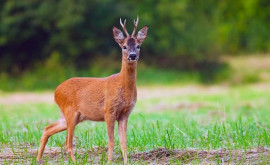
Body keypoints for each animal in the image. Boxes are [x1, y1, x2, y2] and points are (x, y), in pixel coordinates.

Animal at [36, 16, 148, 163]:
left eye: (138, 46)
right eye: (124, 46)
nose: (133, 55)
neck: (123, 87)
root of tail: (56, 91)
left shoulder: (125, 114)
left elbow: (124, 142)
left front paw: (126, 162)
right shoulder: (109, 110)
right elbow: (111, 141)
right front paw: (108, 161)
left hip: (73, 115)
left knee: (47, 128)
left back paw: (38, 159)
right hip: (70, 111)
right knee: (68, 143)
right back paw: (74, 161)